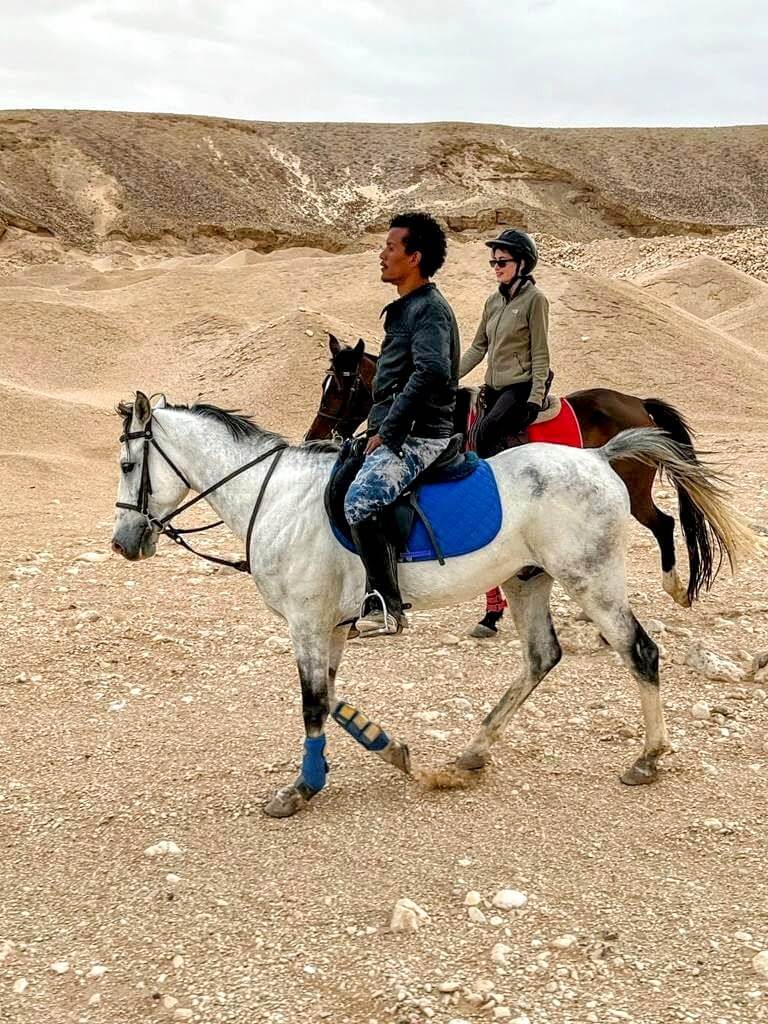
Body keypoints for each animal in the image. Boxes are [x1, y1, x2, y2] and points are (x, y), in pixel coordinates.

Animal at [303, 335, 724, 606]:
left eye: (338, 387)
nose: (313, 435)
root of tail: (637, 404)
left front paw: (492, 613)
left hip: (634, 491)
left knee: (663, 524)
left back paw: (676, 590)